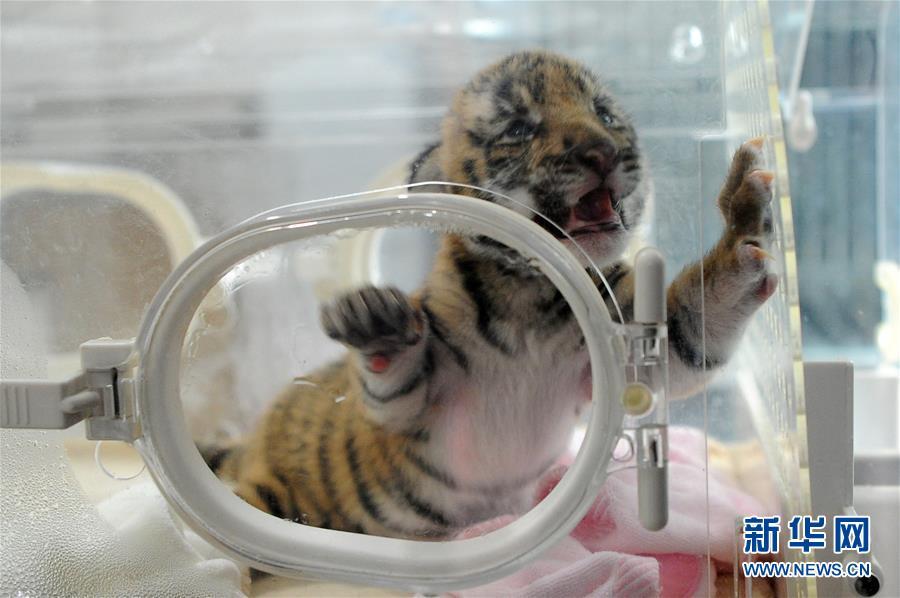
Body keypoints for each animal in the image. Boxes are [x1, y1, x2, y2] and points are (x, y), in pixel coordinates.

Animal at [203, 50, 778, 539]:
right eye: (520, 128)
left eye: (604, 114)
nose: (604, 152)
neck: (529, 294)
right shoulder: (411, 413)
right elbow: (393, 389)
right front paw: (376, 323)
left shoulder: (634, 349)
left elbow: (696, 321)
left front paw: (747, 213)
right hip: (265, 496)